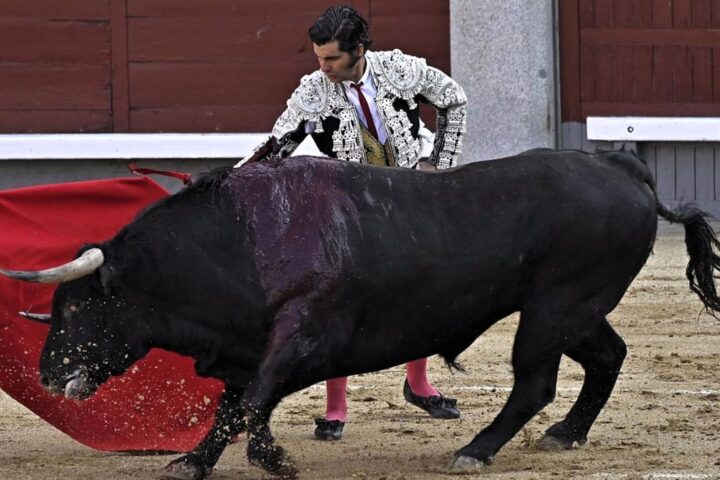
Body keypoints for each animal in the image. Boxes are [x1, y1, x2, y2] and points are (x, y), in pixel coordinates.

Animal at [1, 148, 720, 478]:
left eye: (78, 306)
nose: (48, 374)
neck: (237, 239)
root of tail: (623, 167)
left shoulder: (303, 335)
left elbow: (254, 400)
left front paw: (273, 459)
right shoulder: (247, 344)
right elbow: (232, 405)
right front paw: (194, 462)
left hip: (553, 308)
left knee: (535, 382)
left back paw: (475, 449)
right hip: (577, 309)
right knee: (608, 357)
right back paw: (565, 435)